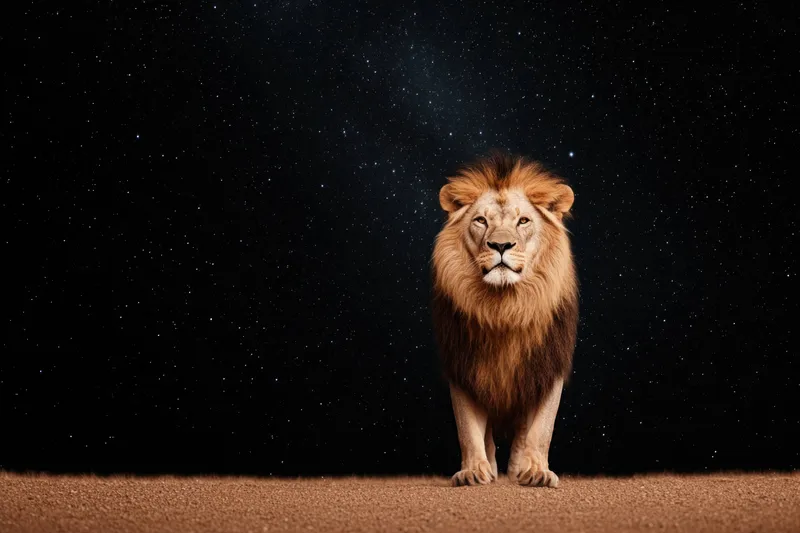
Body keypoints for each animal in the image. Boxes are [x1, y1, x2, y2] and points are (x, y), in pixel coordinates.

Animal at [431, 151, 578, 488]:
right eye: (480, 221)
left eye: (523, 221)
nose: (500, 245)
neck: (505, 307)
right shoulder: (462, 367)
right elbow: (468, 429)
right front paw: (473, 471)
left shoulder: (548, 365)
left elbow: (541, 430)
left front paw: (536, 471)